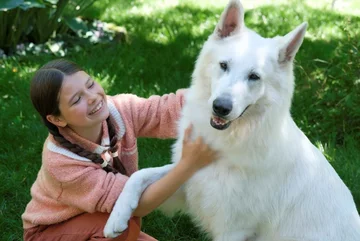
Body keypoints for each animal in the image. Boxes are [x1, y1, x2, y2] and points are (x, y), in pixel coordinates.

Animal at [103, 0, 360, 240]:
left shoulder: (232, 229)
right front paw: (117, 216)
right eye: (224, 65)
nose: (221, 107)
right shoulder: (186, 182)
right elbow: (140, 175)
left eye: (254, 76)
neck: (226, 144)